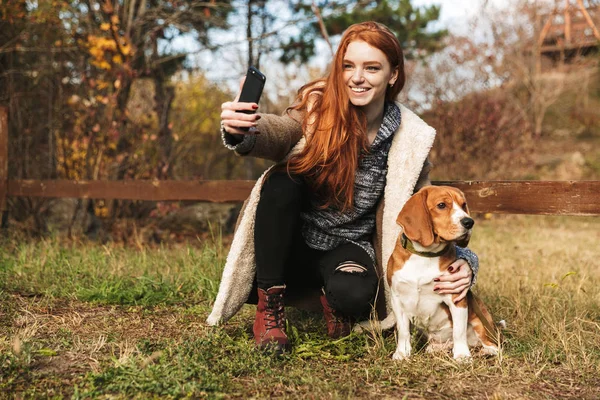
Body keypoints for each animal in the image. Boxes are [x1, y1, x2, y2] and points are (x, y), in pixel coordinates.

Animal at [386, 186, 500, 360]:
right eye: (441, 205)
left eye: (463, 205)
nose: (469, 222)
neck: (425, 255)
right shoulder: (397, 299)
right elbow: (403, 331)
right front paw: (402, 353)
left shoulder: (456, 298)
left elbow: (459, 331)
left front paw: (462, 356)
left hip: (480, 322)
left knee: (491, 343)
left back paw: (486, 351)